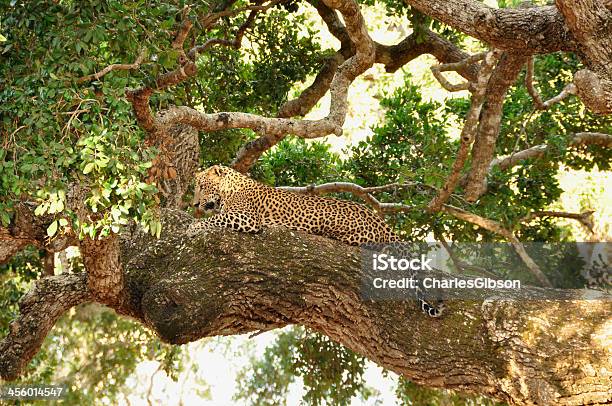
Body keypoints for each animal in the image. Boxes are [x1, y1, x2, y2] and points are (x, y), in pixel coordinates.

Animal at [189, 165, 442, 318]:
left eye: (201, 187)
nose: (193, 204)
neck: (228, 189)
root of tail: (383, 223)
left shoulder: (247, 217)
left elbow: (215, 219)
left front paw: (192, 227)